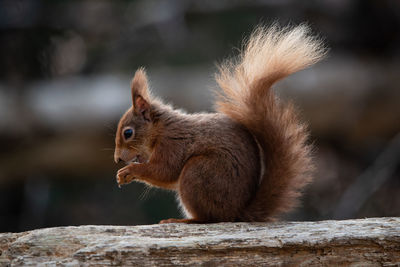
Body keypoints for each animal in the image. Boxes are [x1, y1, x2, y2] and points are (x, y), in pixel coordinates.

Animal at [114, 24, 326, 224]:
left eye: (128, 133)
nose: (117, 159)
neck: (161, 129)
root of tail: (237, 213)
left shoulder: (173, 144)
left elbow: (165, 171)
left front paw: (129, 171)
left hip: (198, 173)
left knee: (209, 218)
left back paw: (184, 220)